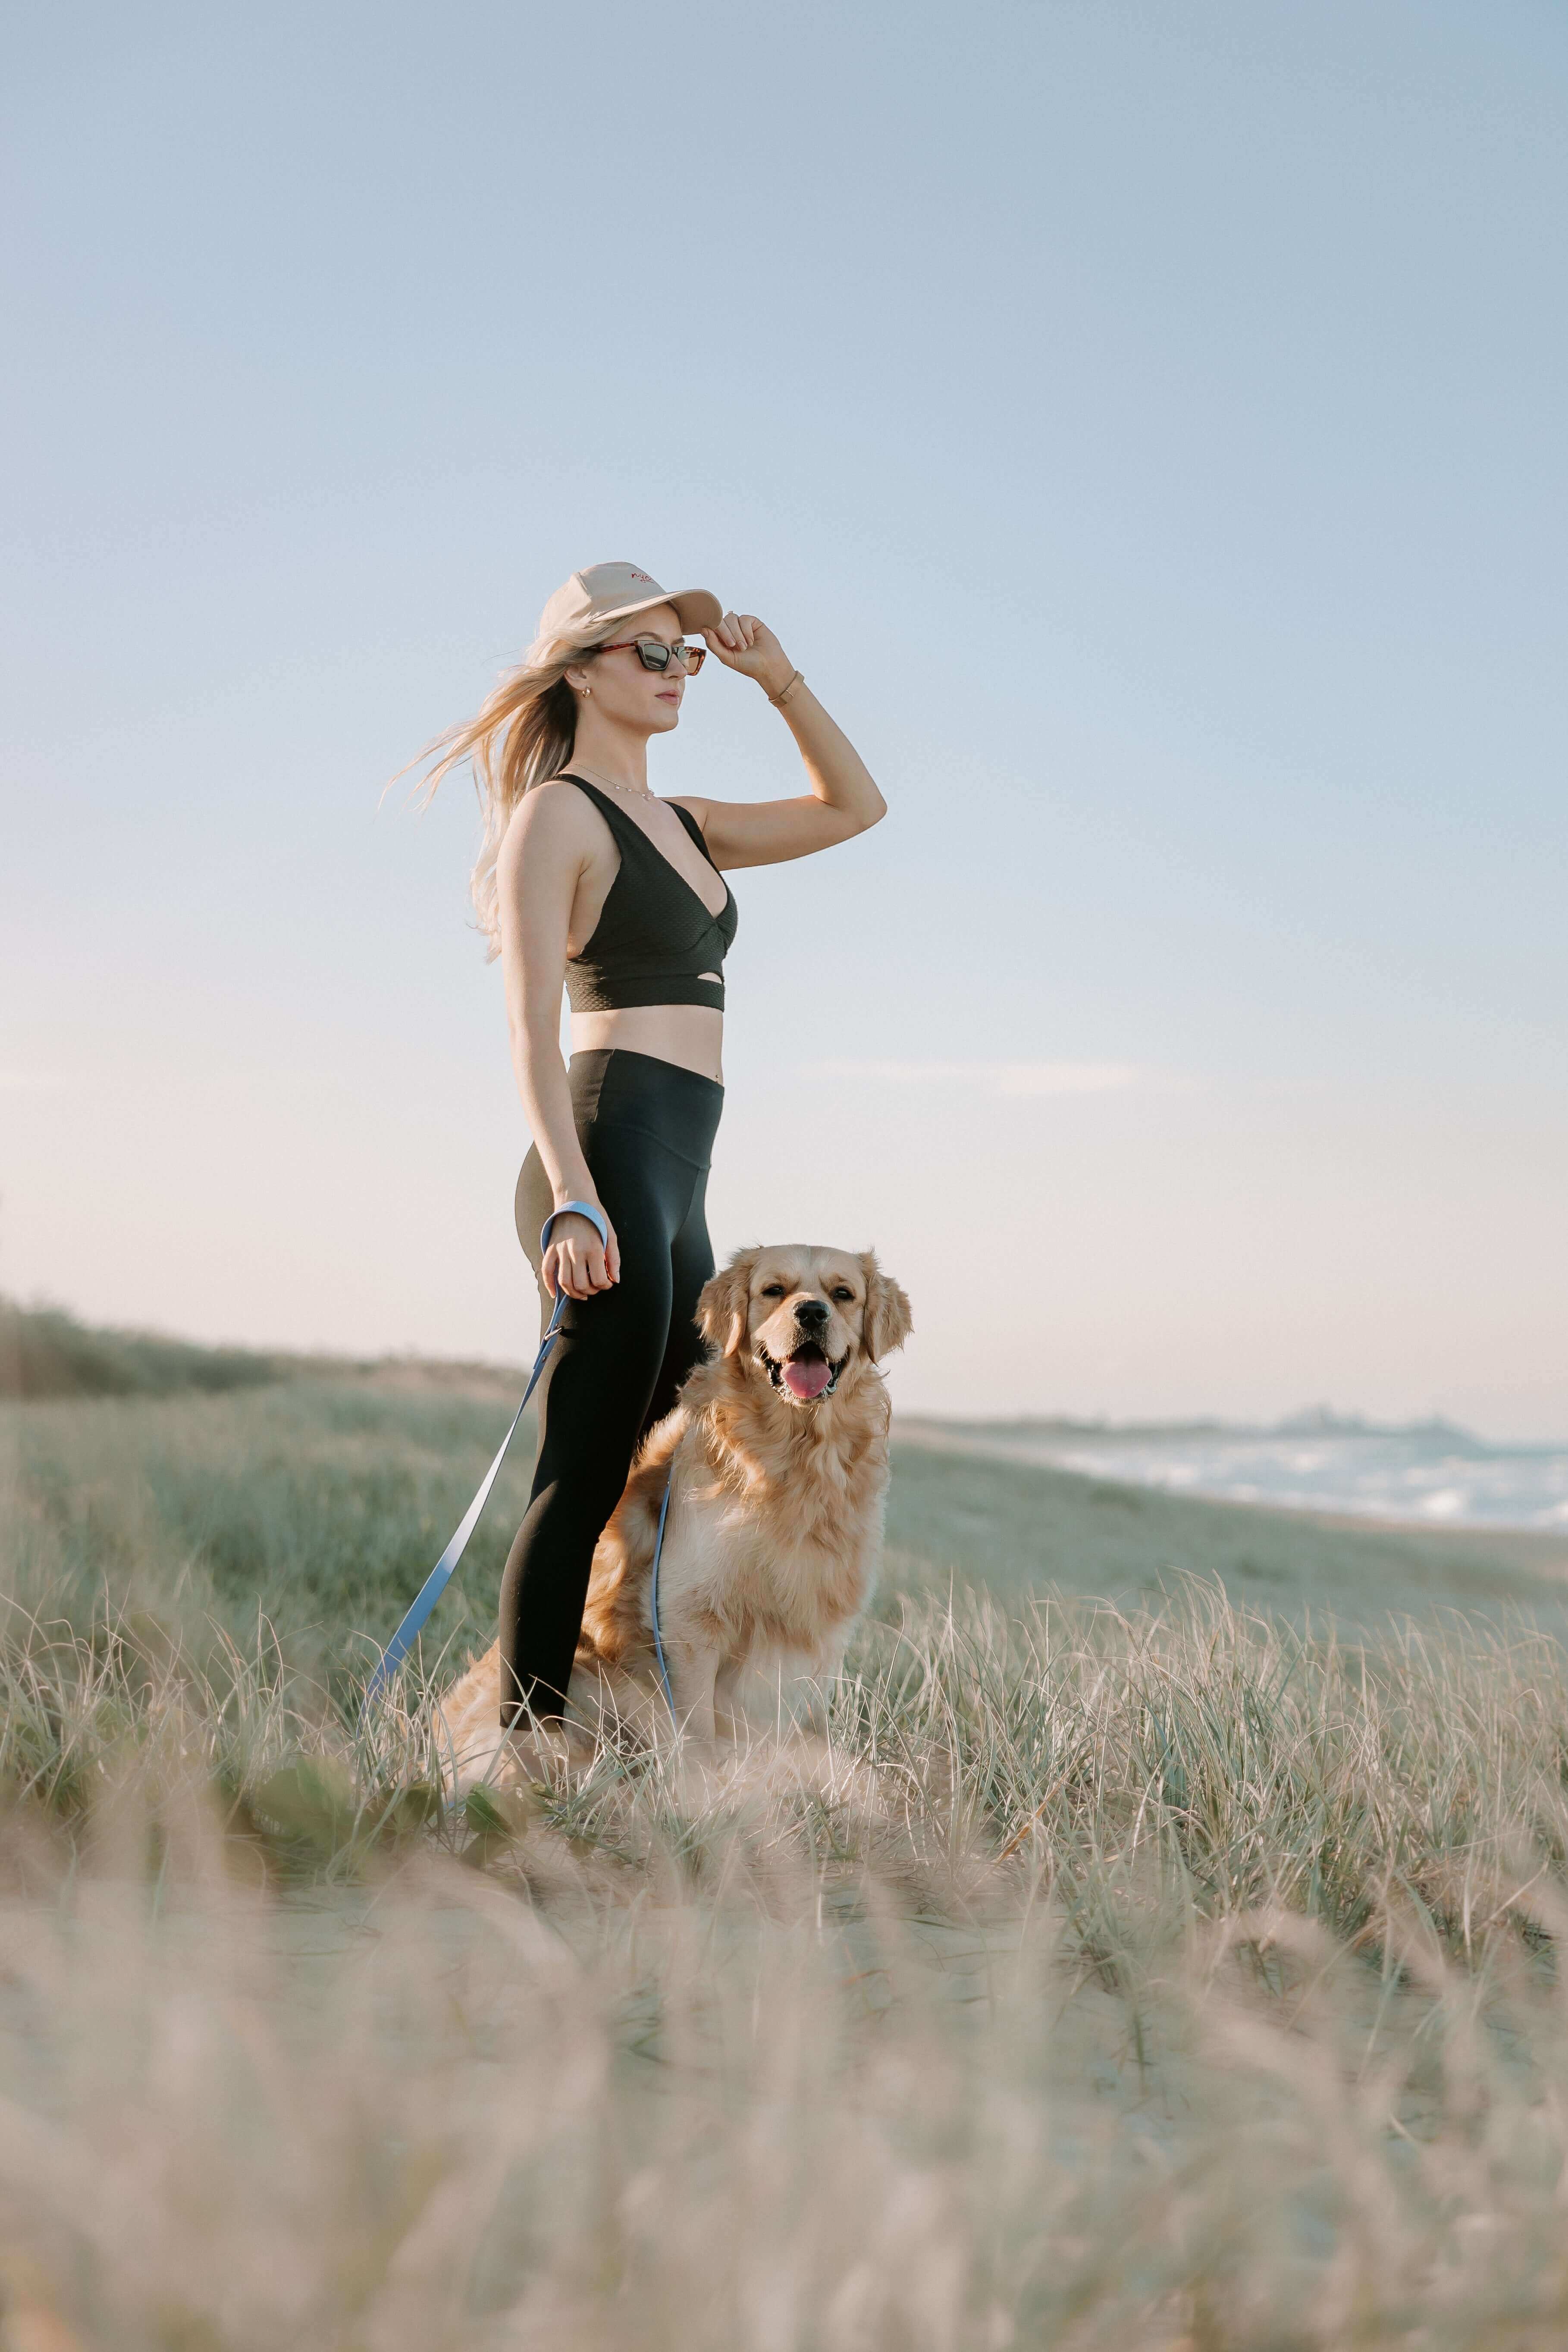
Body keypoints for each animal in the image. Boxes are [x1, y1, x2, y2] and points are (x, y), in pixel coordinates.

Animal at [435, 1242, 912, 1788]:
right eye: (774, 1290)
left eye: (843, 1294)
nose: (812, 1312)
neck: (795, 1454)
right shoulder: (688, 1619)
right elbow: (699, 1732)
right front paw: (709, 1794)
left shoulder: (818, 1632)